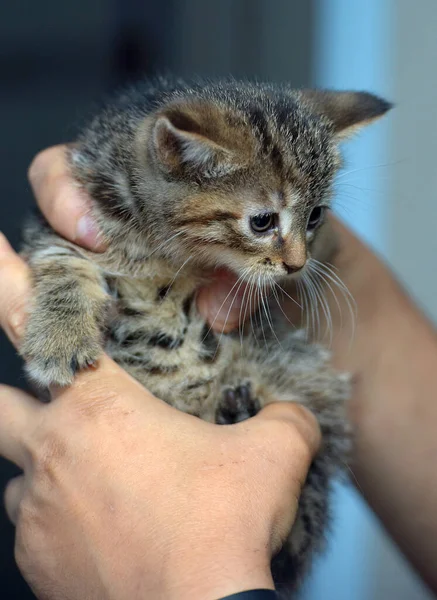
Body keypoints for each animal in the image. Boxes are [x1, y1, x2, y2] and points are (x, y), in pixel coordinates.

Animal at [20, 76, 390, 596]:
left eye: (317, 216)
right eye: (262, 221)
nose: (298, 265)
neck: (165, 248)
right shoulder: (74, 213)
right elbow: (60, 258)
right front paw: (59, 338)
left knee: (299, 537)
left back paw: (240, 412)